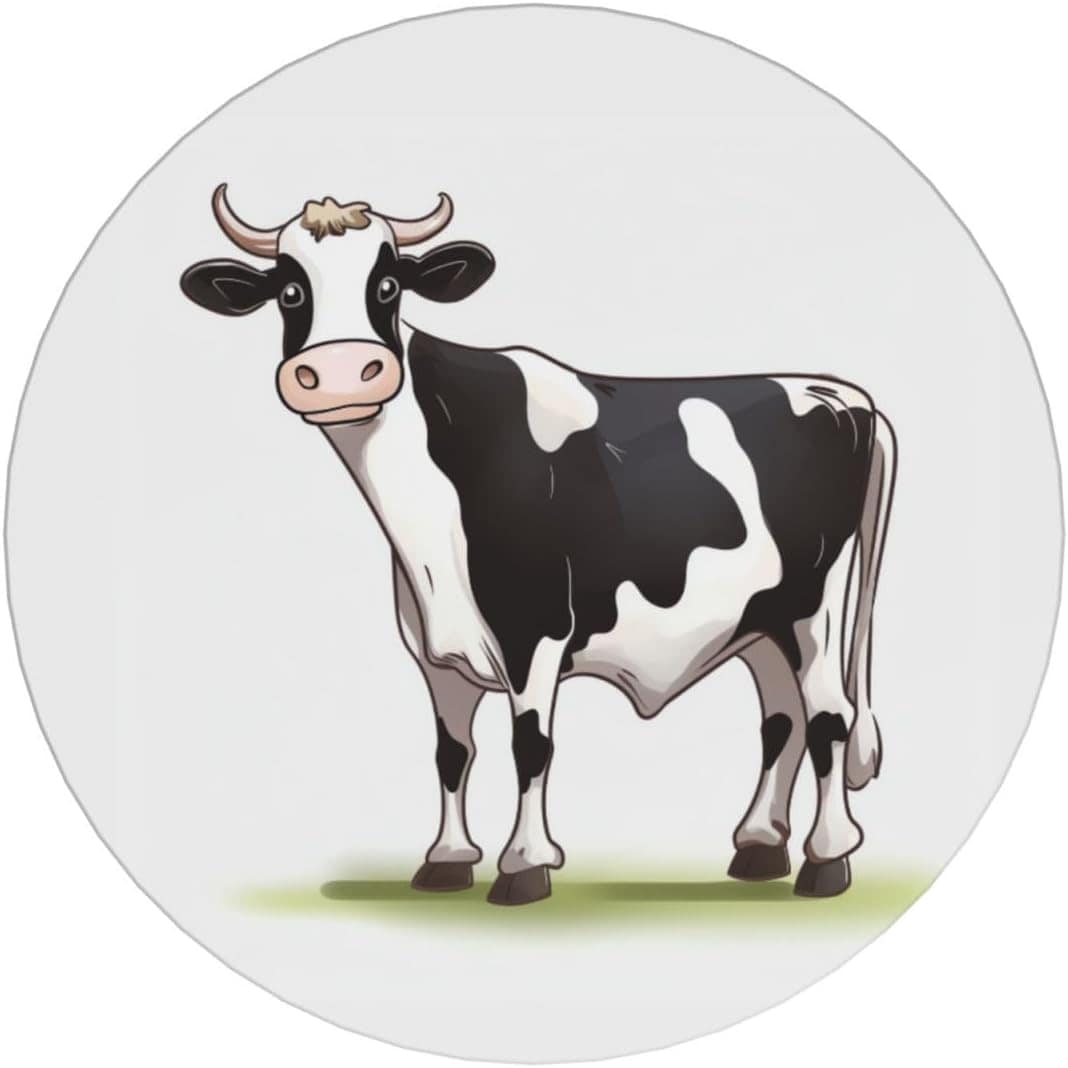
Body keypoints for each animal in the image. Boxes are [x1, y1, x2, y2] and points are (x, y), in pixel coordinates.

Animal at [181, 186, 896, 906]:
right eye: (289, 291)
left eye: (387, 285)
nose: (338, 375)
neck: (425, 530)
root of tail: (843, 395)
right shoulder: (437, 653)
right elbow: (452, 753)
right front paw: (447, 860)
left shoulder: (537, 629)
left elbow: (531, 745)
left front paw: (524, 866)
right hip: (761, 622)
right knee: (783, 717)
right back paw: (758, 847)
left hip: (816, 608)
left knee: (828, 716)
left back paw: (825, 860)